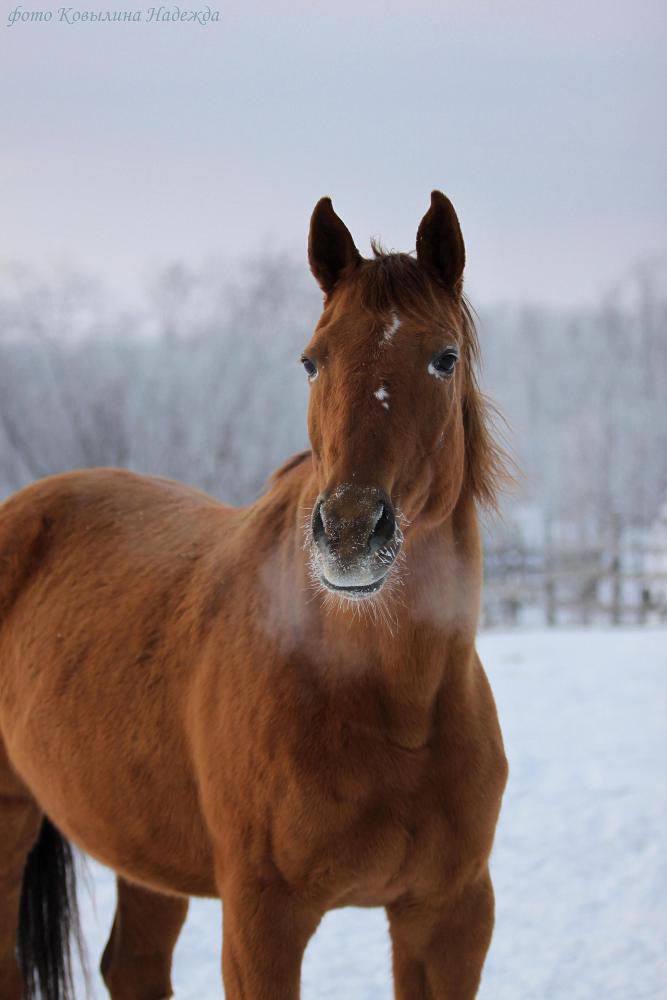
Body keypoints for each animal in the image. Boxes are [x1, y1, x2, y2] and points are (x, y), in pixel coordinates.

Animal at [1, 191, 512, 996]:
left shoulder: (450, 917)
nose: (348, 532)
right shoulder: (262, 921)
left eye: (444, 357)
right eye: (311, 361)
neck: (394, 706)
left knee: (133, 963)